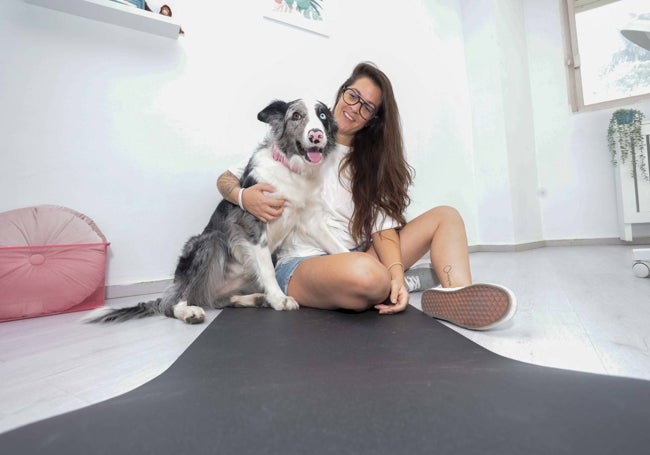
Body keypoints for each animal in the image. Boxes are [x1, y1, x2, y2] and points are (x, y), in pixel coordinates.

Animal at [90, 97, 350, 324]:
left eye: (322, 115)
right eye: (296, 116)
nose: (316, 135)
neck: (290, 169)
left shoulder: (310, 219)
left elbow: (337, 246)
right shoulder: (253, 222)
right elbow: (266, 268)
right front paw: (279, 299)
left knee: (219, 300)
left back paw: (256, 298)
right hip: (209, 242)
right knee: (173, 302)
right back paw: (190, 312)